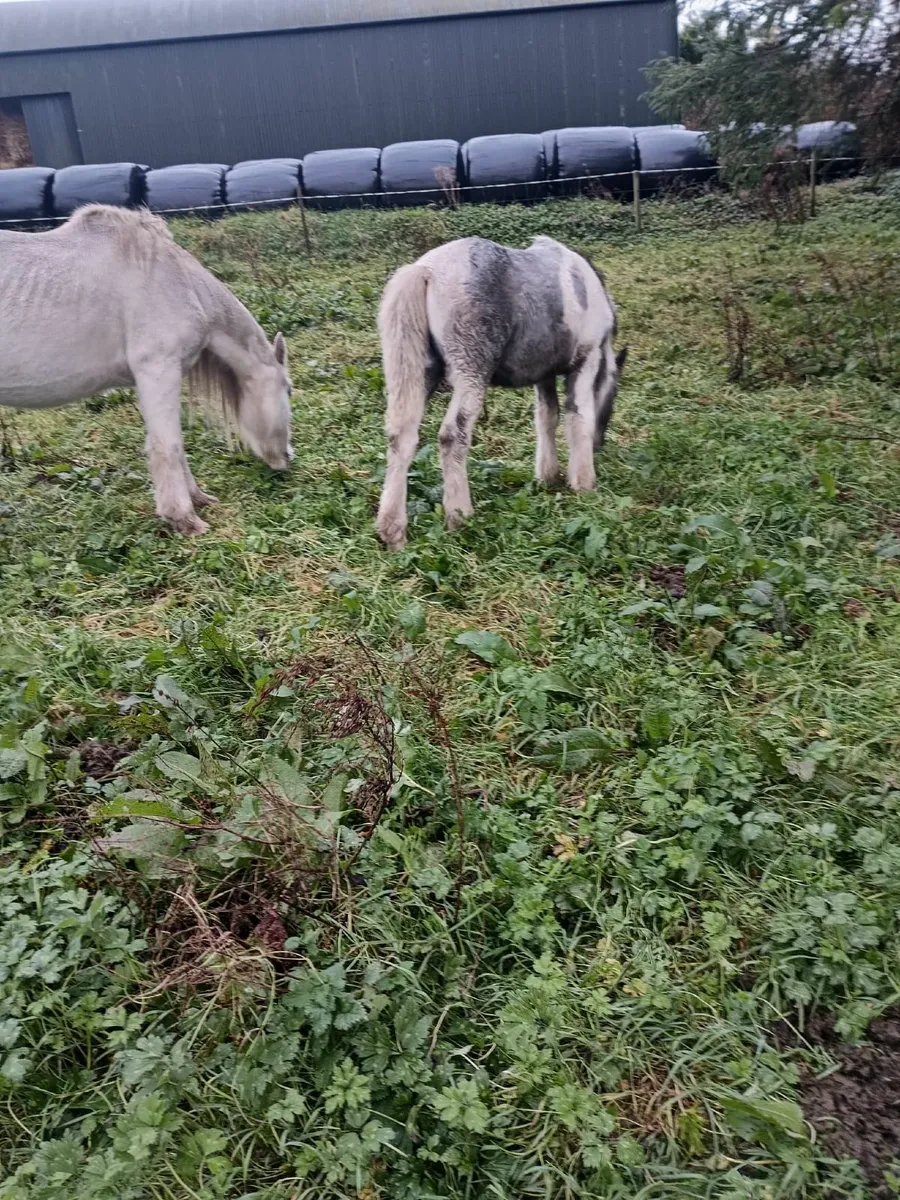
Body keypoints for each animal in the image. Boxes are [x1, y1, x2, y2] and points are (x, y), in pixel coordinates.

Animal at [0, 204, 293, 535]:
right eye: (289, 390)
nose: (287, 458)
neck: (179, 283)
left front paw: (197, 498)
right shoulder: (158, 370)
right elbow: (169, 445)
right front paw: (184, 518)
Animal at [375, 235, 626, 549]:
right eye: (613, 396)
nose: (599, 444)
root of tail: (426, 270)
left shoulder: (543, 374)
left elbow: (547, 418)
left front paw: (548, 477)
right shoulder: (586, 361)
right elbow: (578, 417)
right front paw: (584, 484)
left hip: (419, 374)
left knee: (402, 437)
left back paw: (393, 532)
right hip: (471, 374)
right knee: (452, 436)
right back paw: (460, 517)